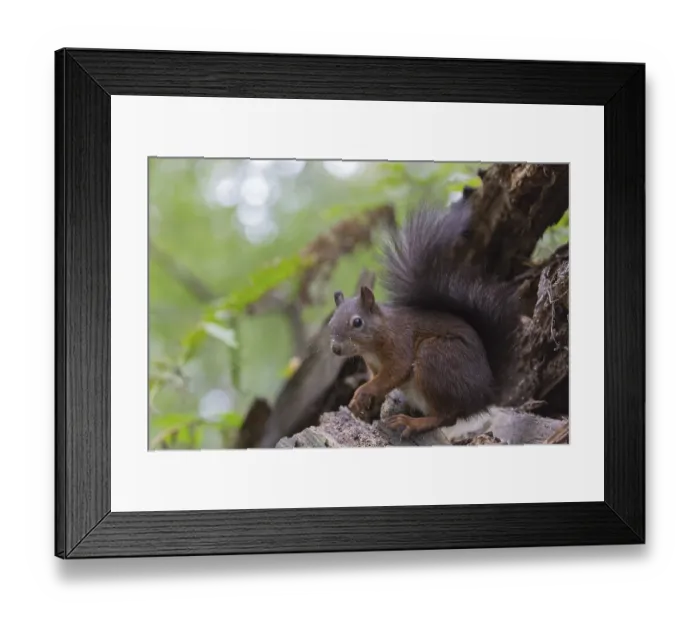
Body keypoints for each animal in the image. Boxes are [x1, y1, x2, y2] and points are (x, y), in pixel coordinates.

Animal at [327, 199, 523, 440]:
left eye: (357, 322)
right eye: (331, 322)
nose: (336, 349)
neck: (378, 336)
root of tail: (485, 393)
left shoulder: (399, 345)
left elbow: (394, 373)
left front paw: (362, 391)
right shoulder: (372, 364)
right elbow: (378, 379)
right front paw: (361, 402)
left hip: (435, 358)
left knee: (446, 417)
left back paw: (412, 423)